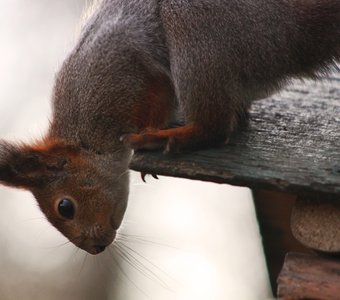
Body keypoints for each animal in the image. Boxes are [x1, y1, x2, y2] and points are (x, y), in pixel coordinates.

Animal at [0, 0, 340, 254]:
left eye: (65, 207)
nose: (94, 248)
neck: (87, 135)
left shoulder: (126, 71)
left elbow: (158, 91)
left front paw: (150, 129)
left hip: (201, 25)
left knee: (214, 126)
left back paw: (167, 137)